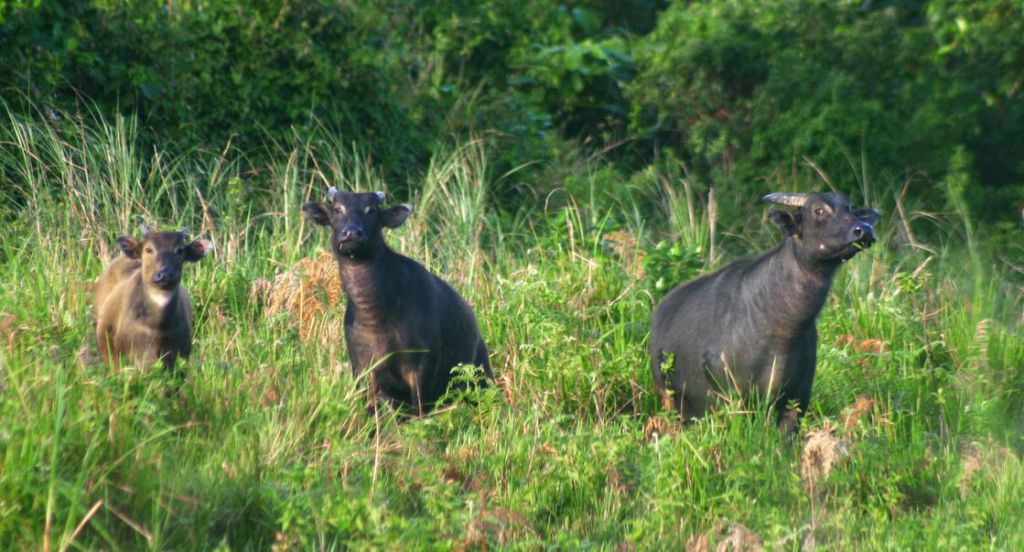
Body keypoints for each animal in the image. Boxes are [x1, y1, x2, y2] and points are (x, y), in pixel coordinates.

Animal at [301, 189, 493, 413]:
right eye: (338, 209)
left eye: (371, 210)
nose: (352, 233)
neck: (376, 317)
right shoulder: (363, 369)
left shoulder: (422, 366)